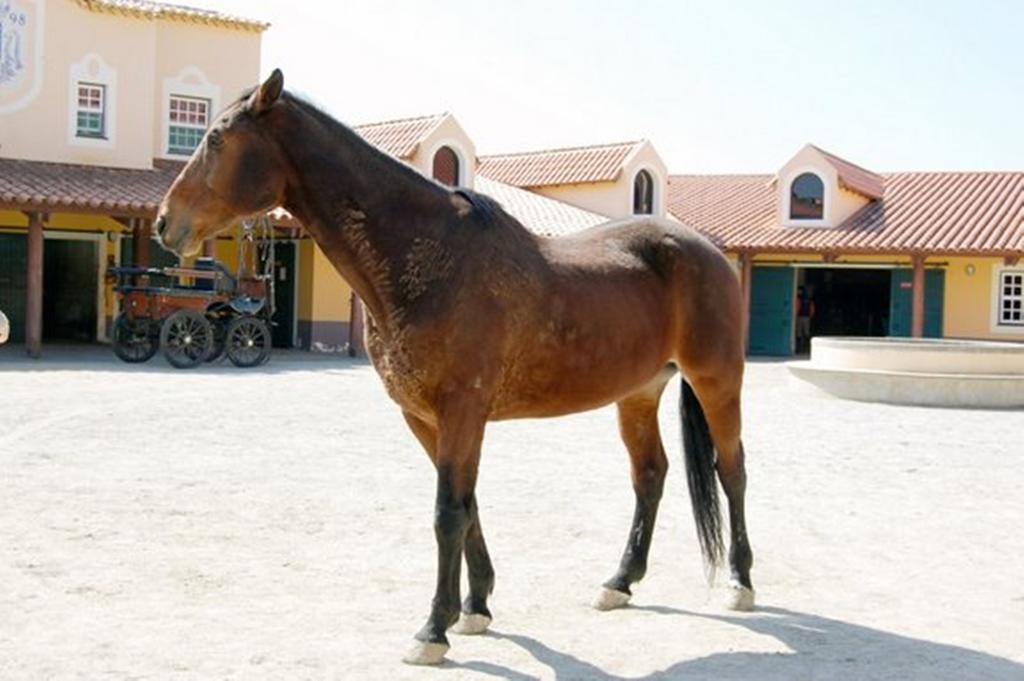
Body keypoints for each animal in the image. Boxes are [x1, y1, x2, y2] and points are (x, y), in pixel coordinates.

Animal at [157, 69, 753, 663]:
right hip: (638, 393)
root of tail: (707, 253)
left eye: (216, 139)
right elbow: (467, 507)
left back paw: (740, 583)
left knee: (732, 472)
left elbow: (448, 513)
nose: (166, 223)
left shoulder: (463, 410)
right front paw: (476, 607)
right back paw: (620, 581)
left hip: (717, 382)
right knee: (649, 476)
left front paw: (432, 630)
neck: (428, 257)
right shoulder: (425, 417)